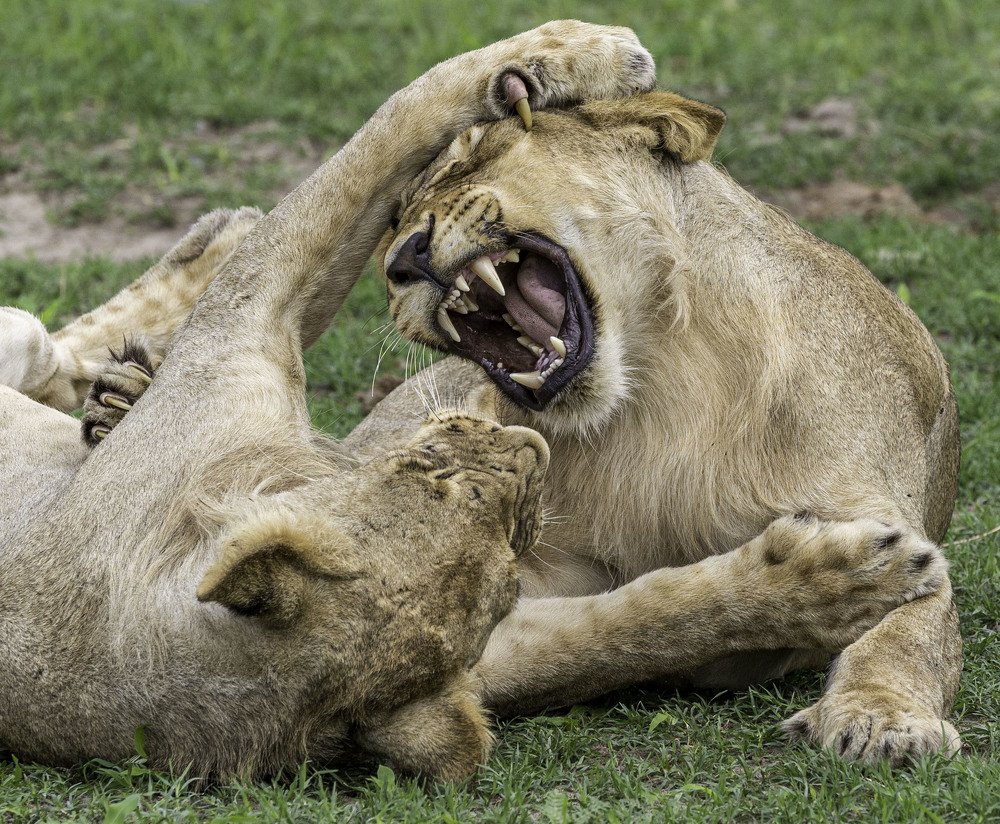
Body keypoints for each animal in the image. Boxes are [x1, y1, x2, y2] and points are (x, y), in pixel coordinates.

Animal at [0, 21, 658, 780]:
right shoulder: (241, 328)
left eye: (514, 565)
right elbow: (399, 118)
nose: (530, 444)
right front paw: (590, 48)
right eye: (437, 478)